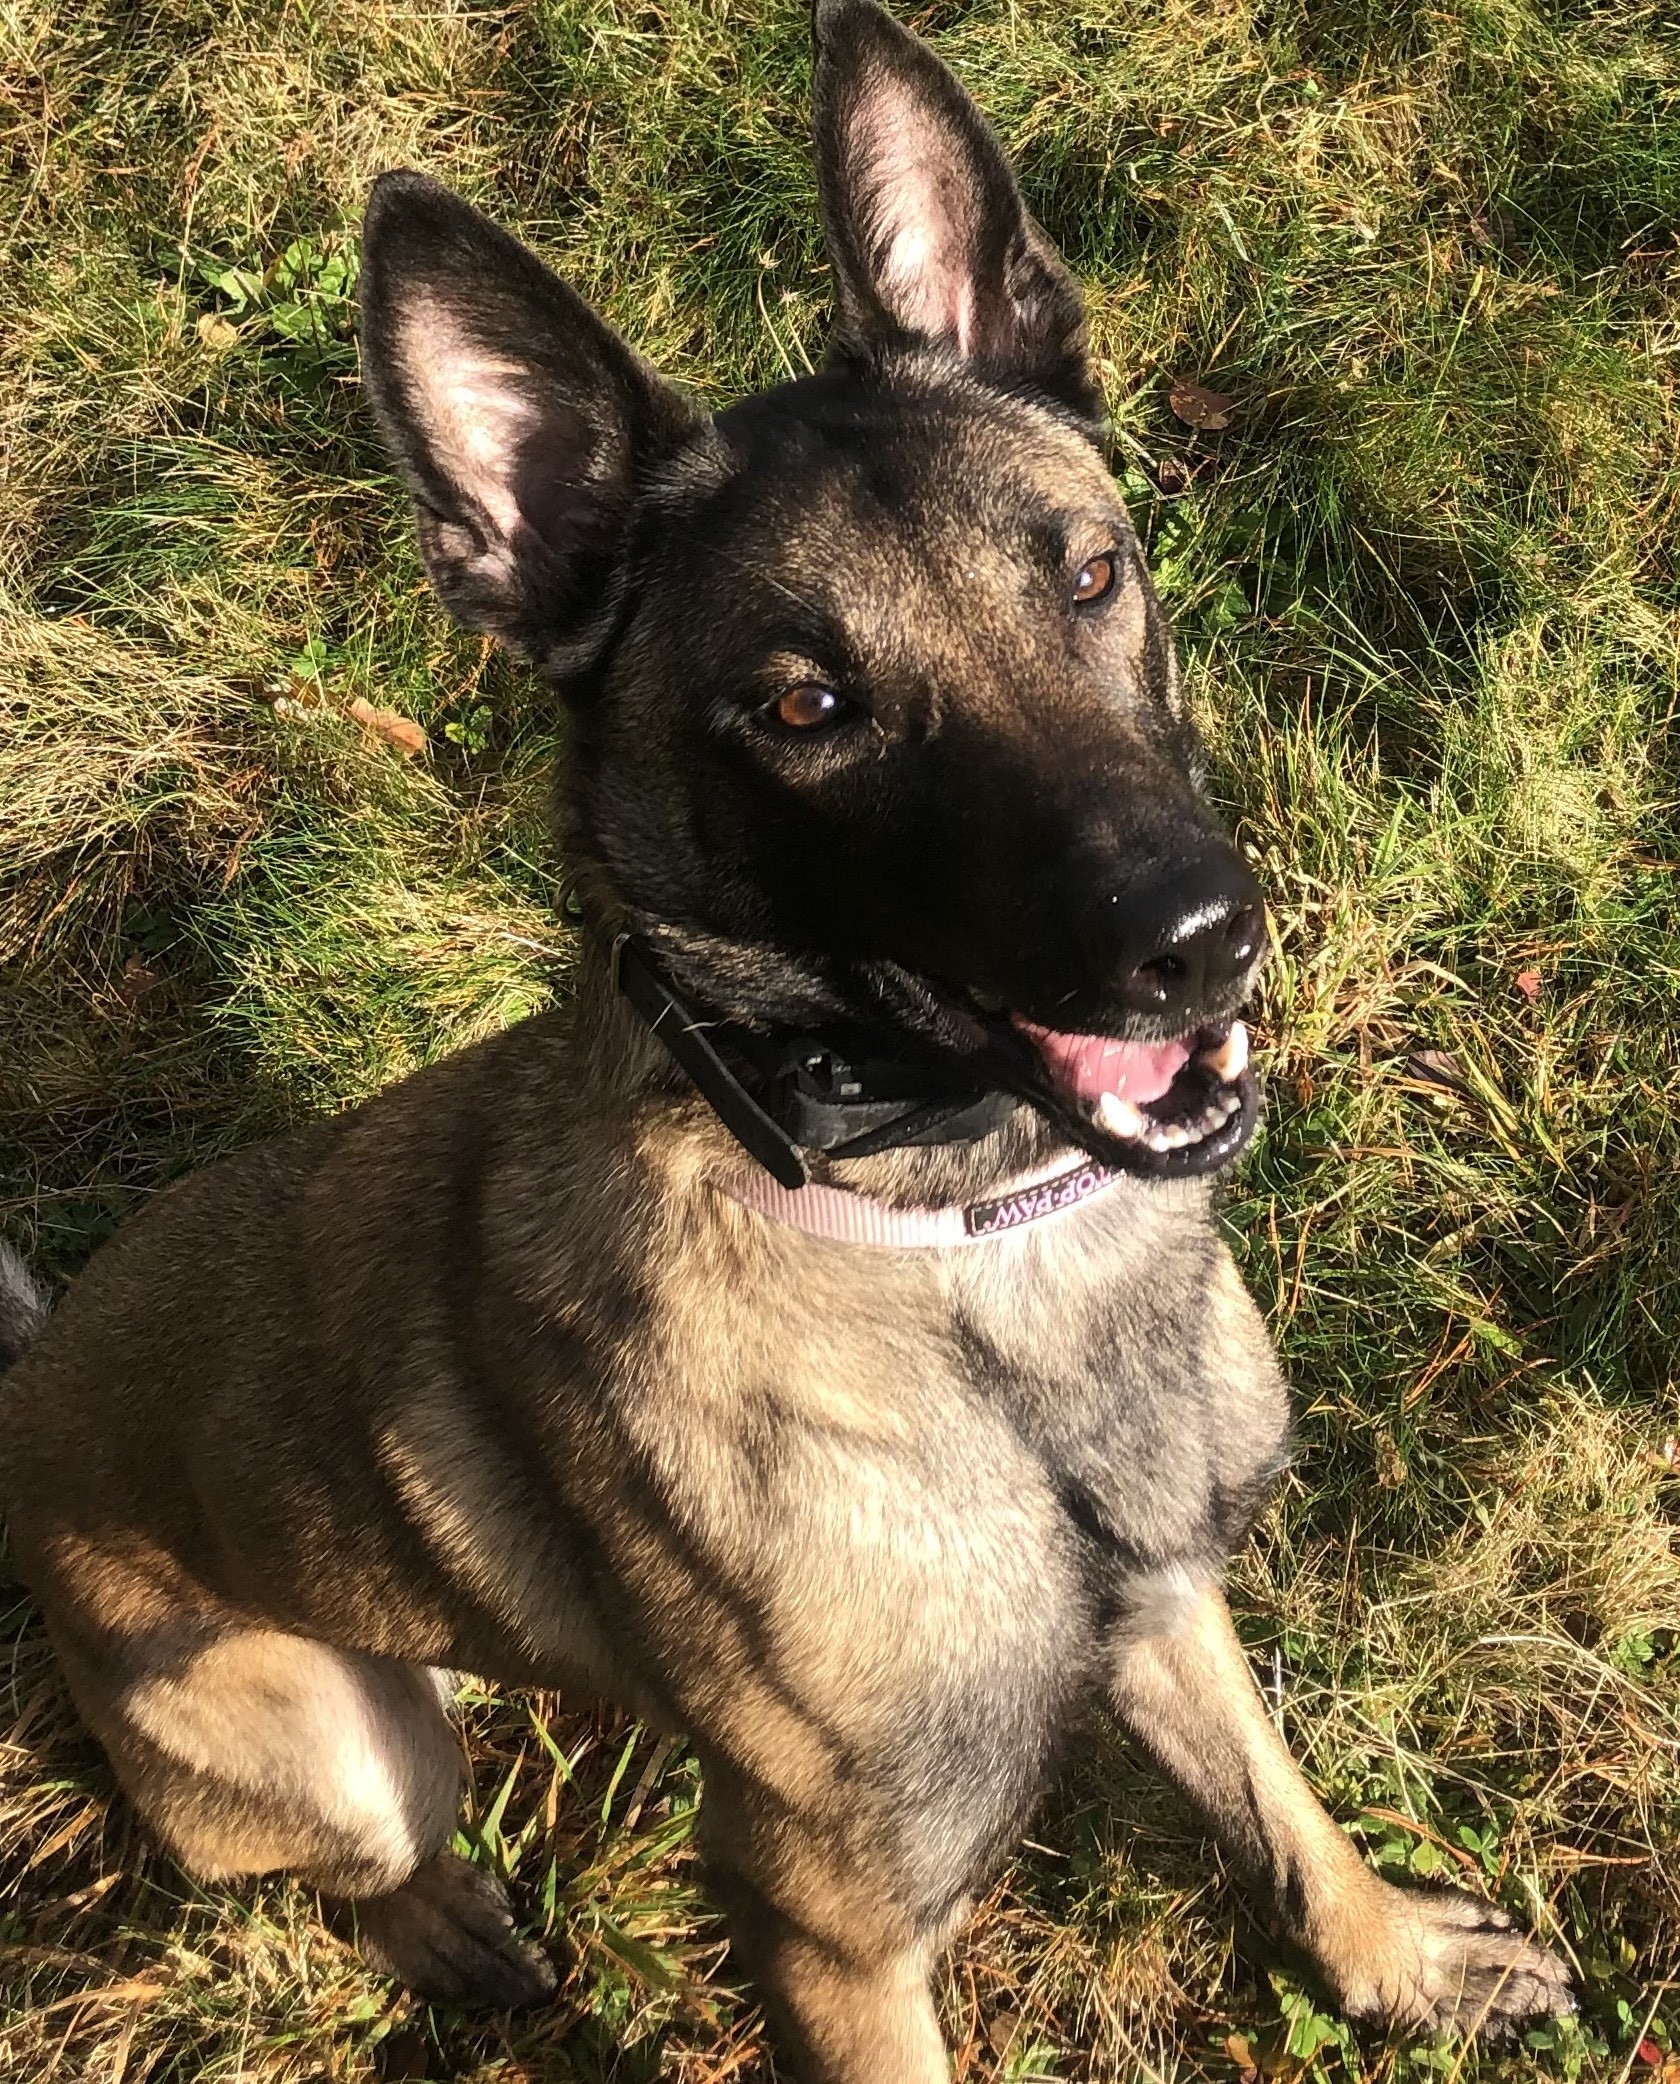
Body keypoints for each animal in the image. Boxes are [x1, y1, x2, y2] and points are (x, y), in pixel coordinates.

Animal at [3, 0, 1575, 2067]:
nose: (1200, 943)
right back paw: (449, 1928)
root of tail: (22, 1403)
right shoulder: (834, 1924)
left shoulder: (1167, 1597)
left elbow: (1277, 1795)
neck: (965, 1247)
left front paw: (1388, 1951)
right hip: (341, 1744)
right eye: (807, 705)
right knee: (356, 1853)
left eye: (1089, 571)